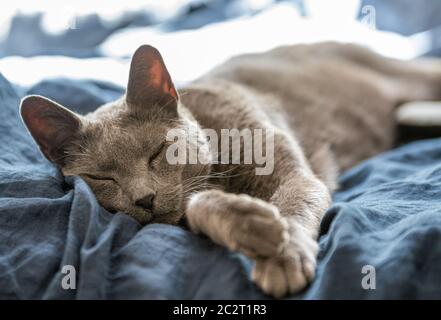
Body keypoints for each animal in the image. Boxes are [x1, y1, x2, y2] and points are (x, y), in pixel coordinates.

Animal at [19, 42, 441, 298]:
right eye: (102, 178)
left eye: (158, 152)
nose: (144, 197)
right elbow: (196, 204)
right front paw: (253, 225)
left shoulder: (295, 176)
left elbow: (292, 206)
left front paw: (282, 257)